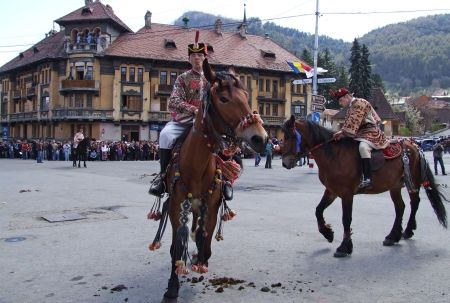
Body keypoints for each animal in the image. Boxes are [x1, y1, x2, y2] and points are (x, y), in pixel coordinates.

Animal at [149, 60, 268, 300]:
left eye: (246, 95)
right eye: (223, 99)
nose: (260, 137)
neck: (196, 164)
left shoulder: (211, 206)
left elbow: (206, 241)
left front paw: (199, 259)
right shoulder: (176, 206)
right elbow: (177, 246)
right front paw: (172, 288)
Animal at [282, 116, 446, 258]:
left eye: (290, 136)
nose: (285, 162)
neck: (335, 154)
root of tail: (413, 144)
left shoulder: (347, 194)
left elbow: (346, 218)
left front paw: (344, 247)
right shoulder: (331, 191)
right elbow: (318, 210)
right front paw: (328, 233)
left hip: (413, 182)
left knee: (414, 203)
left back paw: (408, 230)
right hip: (394, 186)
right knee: (400, 207)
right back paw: (393, 236)